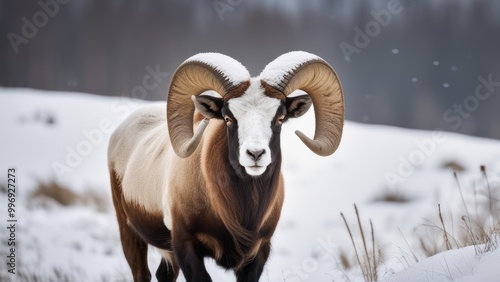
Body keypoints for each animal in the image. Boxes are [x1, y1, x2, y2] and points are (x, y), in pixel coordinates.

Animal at [108, 51, 344, 282]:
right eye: (229, 118)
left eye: (280, 118)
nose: (255, 154)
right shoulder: (185, 244)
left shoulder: (257, 254)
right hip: (129, 233)